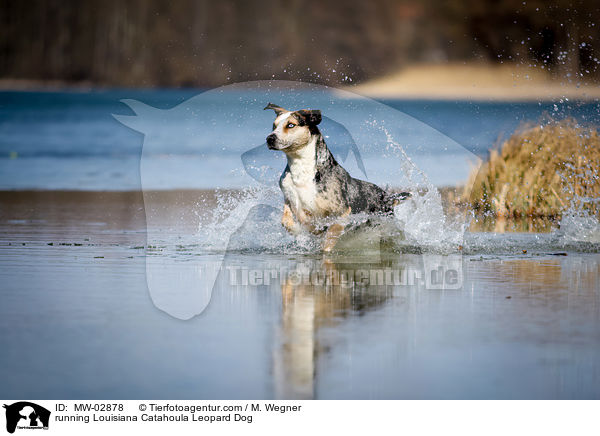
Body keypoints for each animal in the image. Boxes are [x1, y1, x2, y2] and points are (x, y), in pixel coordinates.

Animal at [264, 103, 410, 250]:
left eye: (290, 125)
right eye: (274, 126)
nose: (269, 138)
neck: (301, 169)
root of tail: (388, 197)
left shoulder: (342, 211)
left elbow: (331, 232)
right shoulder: (290, 199)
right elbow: (287, 221)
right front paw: (301, 231)